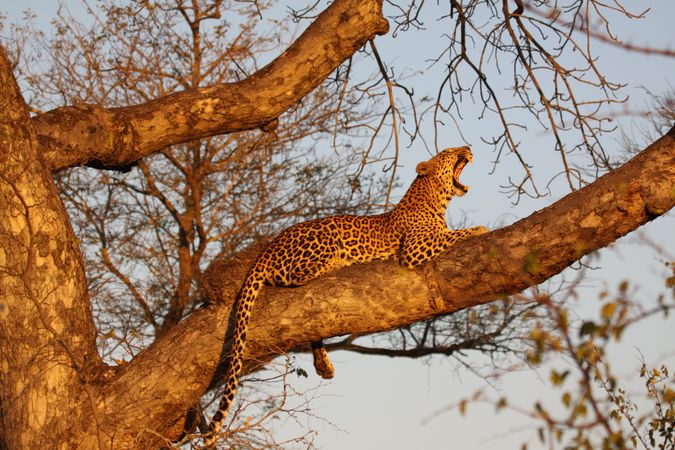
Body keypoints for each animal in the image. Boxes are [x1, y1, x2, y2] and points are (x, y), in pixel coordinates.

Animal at [203, 145, 488, 446]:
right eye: (448, 151)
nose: (468, 147)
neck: (435, 199)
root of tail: (267, 250)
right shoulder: (414, 249)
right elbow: (451, 235)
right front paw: (478, 229)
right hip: (322, 239)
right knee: (299, 276)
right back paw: (340, 262)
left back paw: (324, 364)